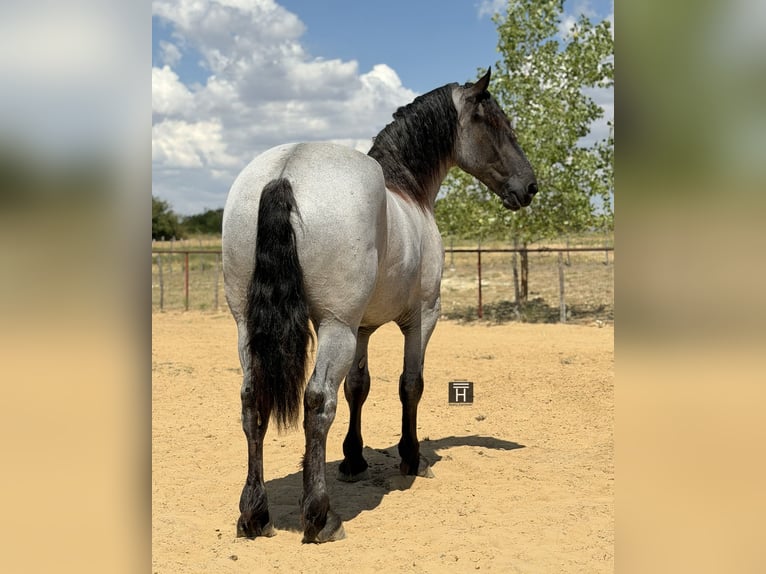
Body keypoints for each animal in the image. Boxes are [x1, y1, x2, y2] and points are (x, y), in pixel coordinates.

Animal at [221, 68, 537, 543]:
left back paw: (254, 514)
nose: (530, 186)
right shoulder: (421, 318)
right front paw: (410, 456)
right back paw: (320, 516)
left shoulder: (363, 328)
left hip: (248, 326)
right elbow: (410, 384)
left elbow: (359, 386)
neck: (407, 192)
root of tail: (286, 172)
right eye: (499, 125)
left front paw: (354, 460)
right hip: (334, 327)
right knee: (318, 403)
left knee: (251, 401)